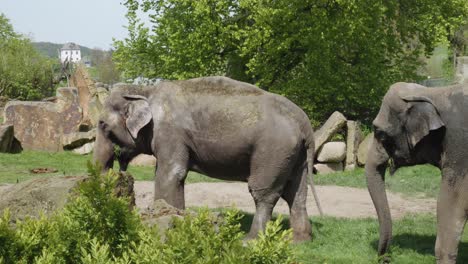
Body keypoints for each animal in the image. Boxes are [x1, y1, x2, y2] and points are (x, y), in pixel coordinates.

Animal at [93, 76, 324, 241]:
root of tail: (304, 123)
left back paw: (250, 241)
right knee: (296, 192)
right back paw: (299, 241)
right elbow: (174, 175)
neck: (144, 90)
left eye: (102, 124)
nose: (118, 170)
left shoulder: (169, 132)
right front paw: (178, 218)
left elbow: (171, 173)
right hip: (295, 155)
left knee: (264, 192)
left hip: (273, 149)